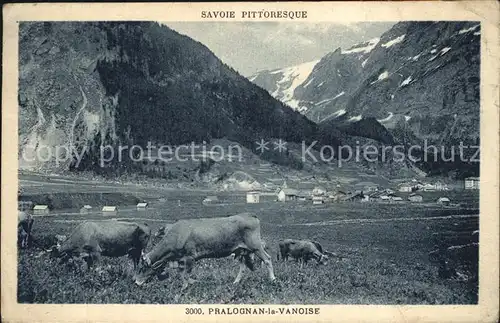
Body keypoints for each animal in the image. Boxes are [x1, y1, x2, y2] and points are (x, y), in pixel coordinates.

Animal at [135, 214, 276, 288]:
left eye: (141, 268)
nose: (136, 282)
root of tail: (249, 215)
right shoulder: (181, 259)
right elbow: (181, 274)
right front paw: (185, 286)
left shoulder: (190, 257)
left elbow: (186, 274)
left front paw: (189, 284)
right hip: (242, 250)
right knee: (243, 266)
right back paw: (235, 282)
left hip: (256, 246)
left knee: (267, 259)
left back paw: (272, 279)